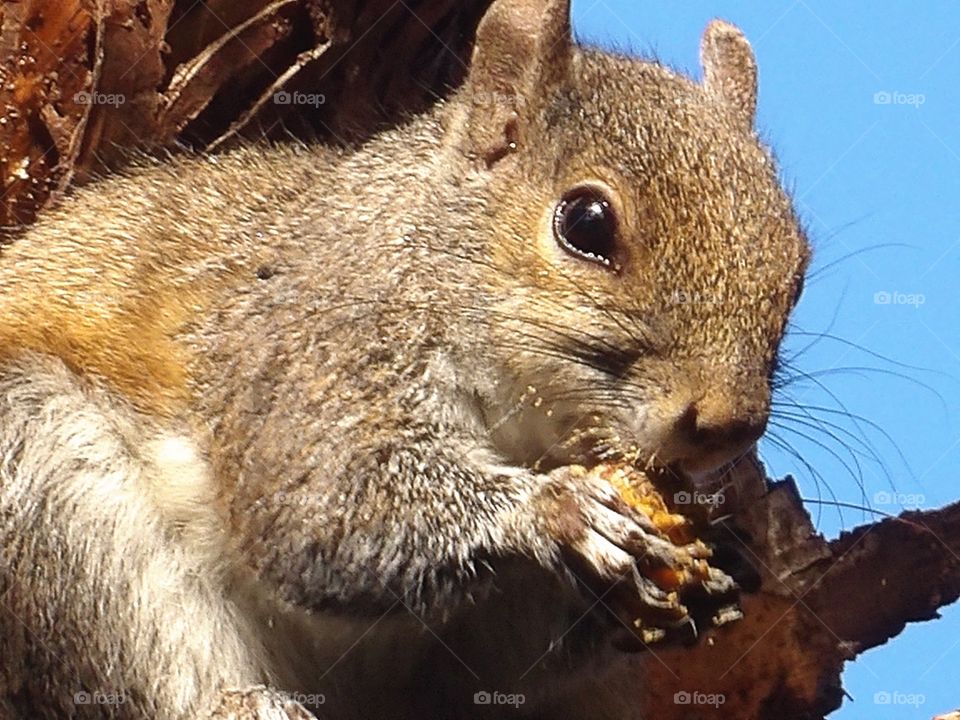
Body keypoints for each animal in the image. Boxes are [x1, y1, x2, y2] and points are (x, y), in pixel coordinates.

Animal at [0, 0, 809, 718]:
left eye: (798, 268)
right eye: (586, 223)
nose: (727, 426)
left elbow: (505, 656)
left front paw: (722, 557)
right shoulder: (309, 350)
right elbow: (317, 508)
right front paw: (555, 512)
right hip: (47, 486)